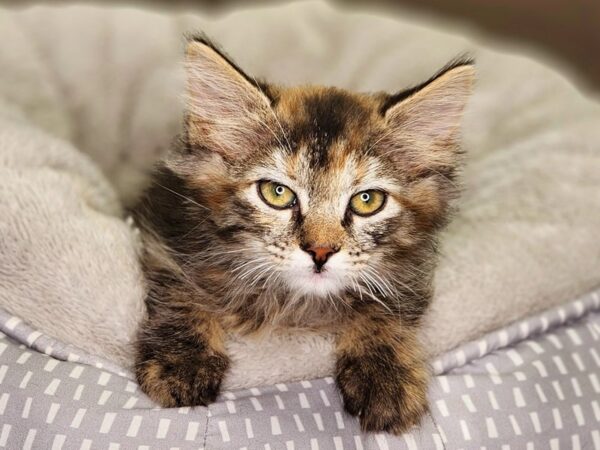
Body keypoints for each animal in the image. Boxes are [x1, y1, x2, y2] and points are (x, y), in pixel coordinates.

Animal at [135, 37, 474, 434]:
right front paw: (181, 361)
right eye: (277, 193)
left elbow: (384, 309)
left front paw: (387, 376)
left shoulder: (408, 274)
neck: (294, 303)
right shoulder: (162, 230)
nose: (321, 251)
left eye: (367, 200)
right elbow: (180, 290)